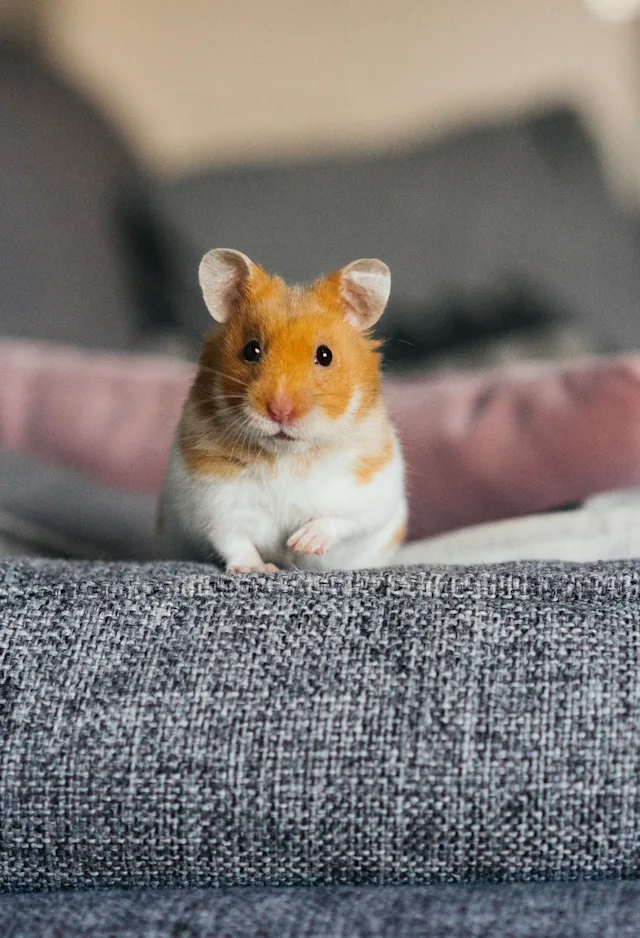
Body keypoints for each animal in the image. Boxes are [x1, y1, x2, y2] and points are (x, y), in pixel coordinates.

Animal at [159, 248, 407, 573]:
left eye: (325, 355)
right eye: (251, 350)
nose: (280, 411)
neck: (287, 455)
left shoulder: (370, 492)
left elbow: (340, 520)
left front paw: (301, 542)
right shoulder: (212, 501)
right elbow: (233, 539)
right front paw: (257, 568)